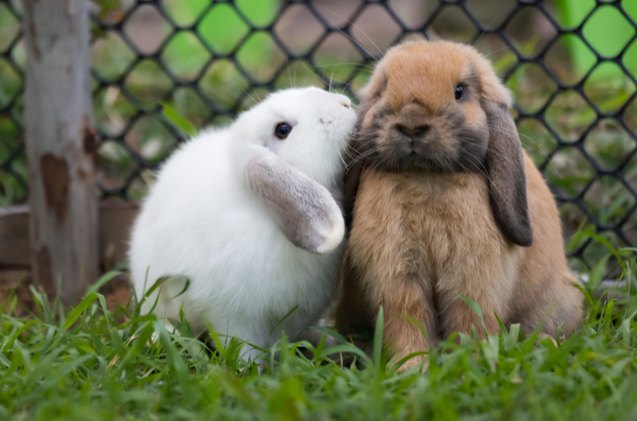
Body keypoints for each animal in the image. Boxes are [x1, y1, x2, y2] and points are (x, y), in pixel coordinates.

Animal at [336, 40, 584, 368]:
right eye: (385, 87)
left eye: (460, 91)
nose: (412, 123)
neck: (425, 178)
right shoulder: (397, 277)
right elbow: (407, 319)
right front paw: (412, 366)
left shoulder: (472, 279)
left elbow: (469, 320)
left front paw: (469, 361)